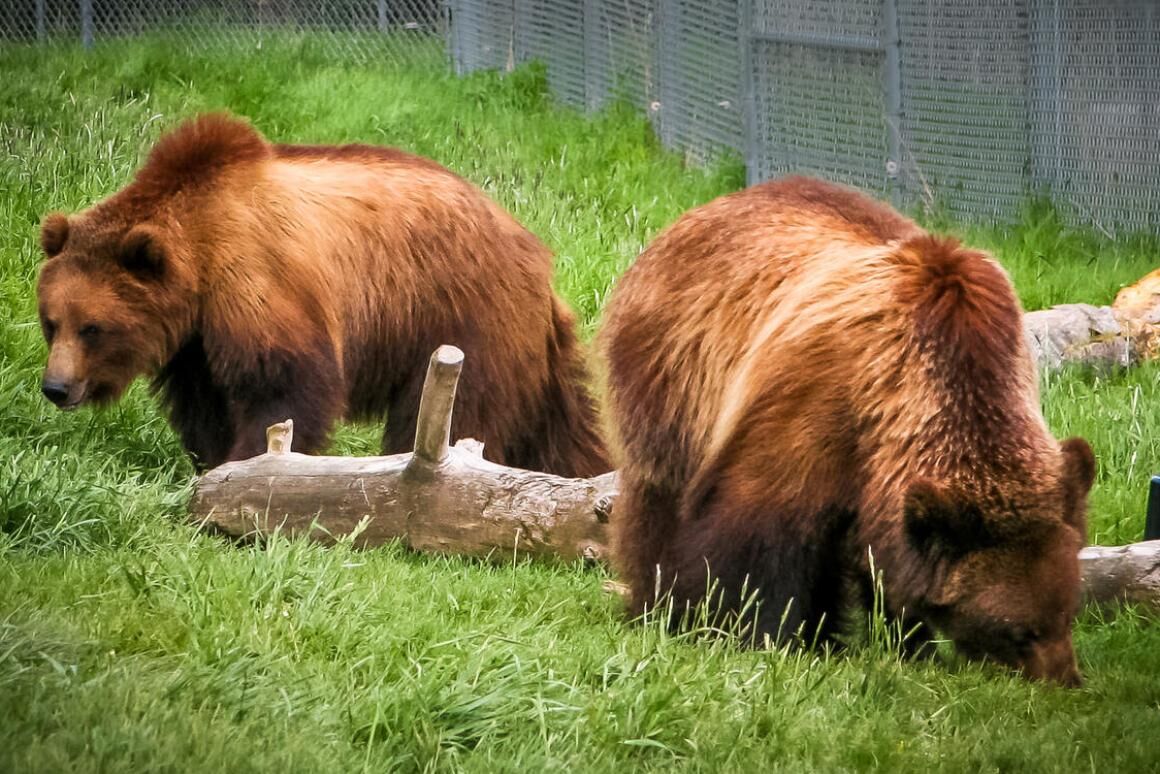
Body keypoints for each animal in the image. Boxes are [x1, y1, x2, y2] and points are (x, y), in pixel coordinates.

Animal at [36, 113, 607, 478]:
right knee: (555, 426)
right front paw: (211, 458)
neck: (200, 262)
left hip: (462, 314)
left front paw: (251, 462)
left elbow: (285, 383)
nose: (56, 387)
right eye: (50, 322)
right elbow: (205, 402)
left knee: (454, 410)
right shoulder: (195, 341)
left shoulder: (258, 280)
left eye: (93, 327)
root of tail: (533, 252)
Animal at [607, 175, 1095, 682]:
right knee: (661, 499)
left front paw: (910, 643)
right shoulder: (811, 409)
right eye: (1020, 632)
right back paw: (657, 604)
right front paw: (755, 635)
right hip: (675, 376)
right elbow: (756, 539)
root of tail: (696, 215)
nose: (1066, 679)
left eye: (1067, 613)